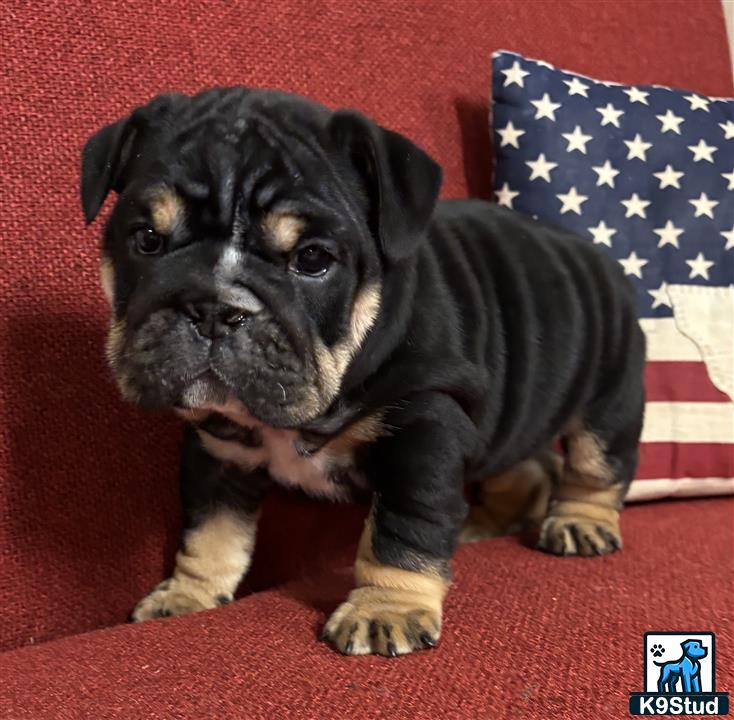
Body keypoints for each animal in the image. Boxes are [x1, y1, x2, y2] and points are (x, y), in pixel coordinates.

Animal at [79, 88, 644, 660]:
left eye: (312, 259)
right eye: (147, 241)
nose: (214, 308)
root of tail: (596, 257)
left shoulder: (424, 432)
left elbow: (403, 529)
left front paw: (386, 609)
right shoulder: (220, 449)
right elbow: (209, 530)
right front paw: (188, 593)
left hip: (610, 399)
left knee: (595, 466)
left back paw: (579, 522)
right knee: (522, 466)